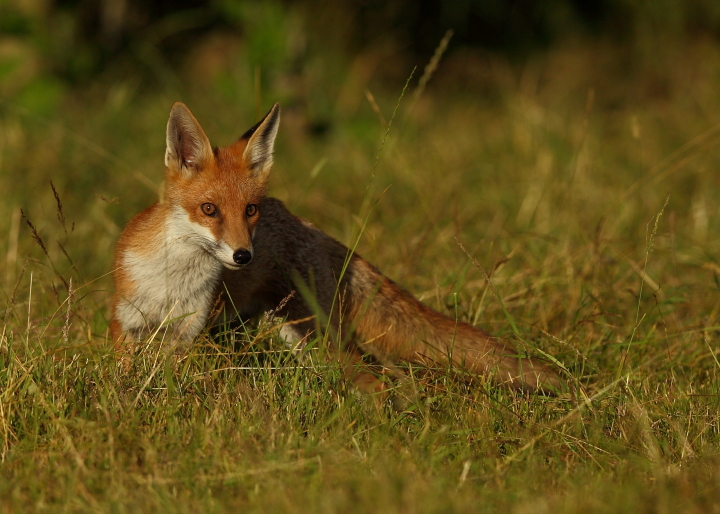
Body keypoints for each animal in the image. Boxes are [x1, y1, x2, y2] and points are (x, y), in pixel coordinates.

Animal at [111, 102, 561, 393]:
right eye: (209, 209)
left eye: (250, 210)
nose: (243, 256)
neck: (173, 281)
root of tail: (314, 230)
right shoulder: (126, 324)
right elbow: (124, 370)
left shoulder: (188, 334)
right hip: (292, 335)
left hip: (312, 335)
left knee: (372, 376)